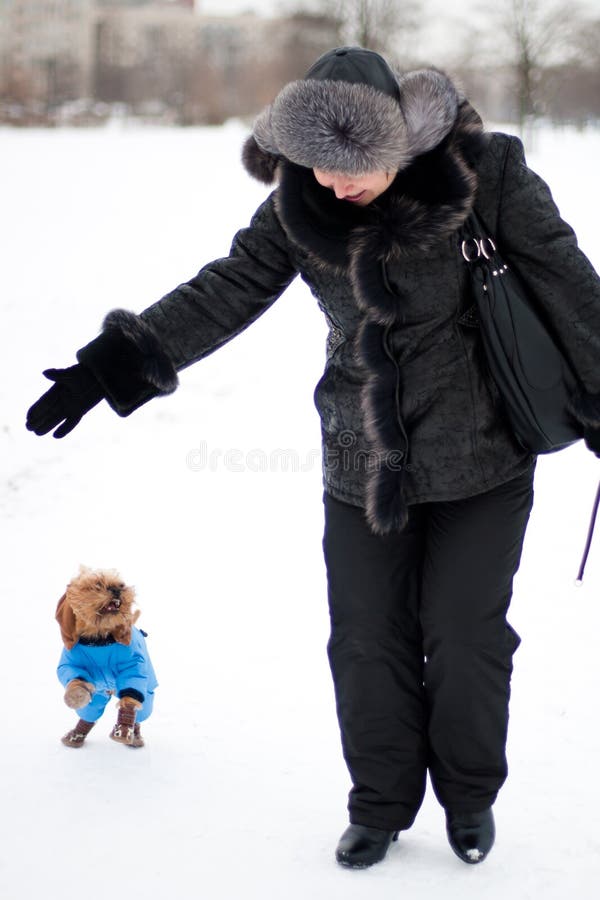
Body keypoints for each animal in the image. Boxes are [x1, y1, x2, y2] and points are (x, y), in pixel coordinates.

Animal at [56, 568, 157, 748]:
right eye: (96, 585)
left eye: (121, 584)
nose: (118, 588)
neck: (99, 640)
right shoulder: (70, 664)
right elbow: (72, 676)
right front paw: (76, 695)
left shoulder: (133, 664)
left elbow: (130, 696)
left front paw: (124, 727)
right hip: (99, 694)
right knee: (90, 712)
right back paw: (75, 736)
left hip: (148, 693)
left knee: (141, 712)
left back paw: (135, 736)